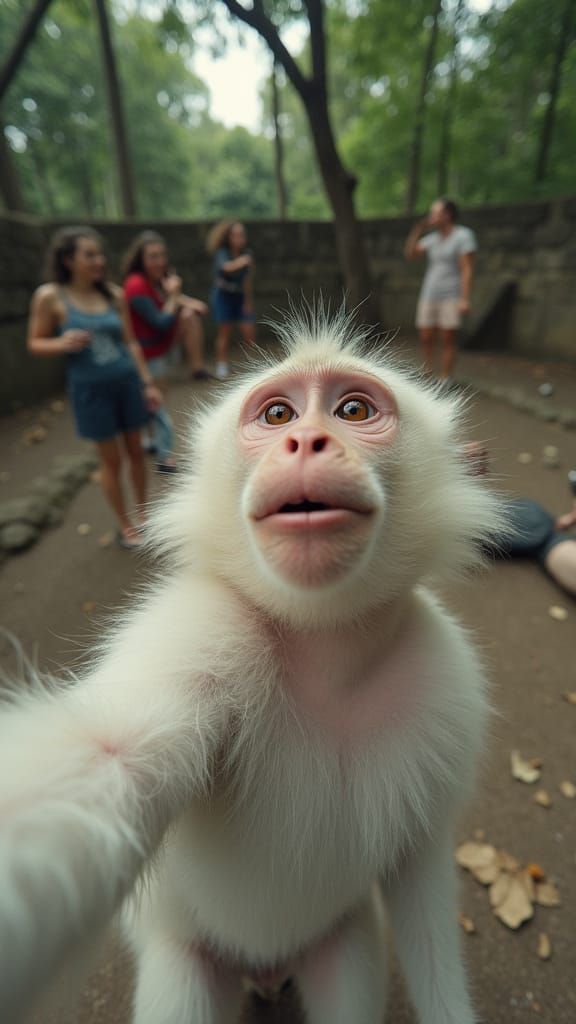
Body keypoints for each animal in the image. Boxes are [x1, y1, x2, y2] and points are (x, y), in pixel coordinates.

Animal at [0, 308, 504, 1024]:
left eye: (353, 409)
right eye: (276, 415)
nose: (306, 442)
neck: (329, 651)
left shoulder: (446, 676)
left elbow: (420, 876)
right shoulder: (205, 630)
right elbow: (110, 756)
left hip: (337, 940)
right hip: (191, 951)